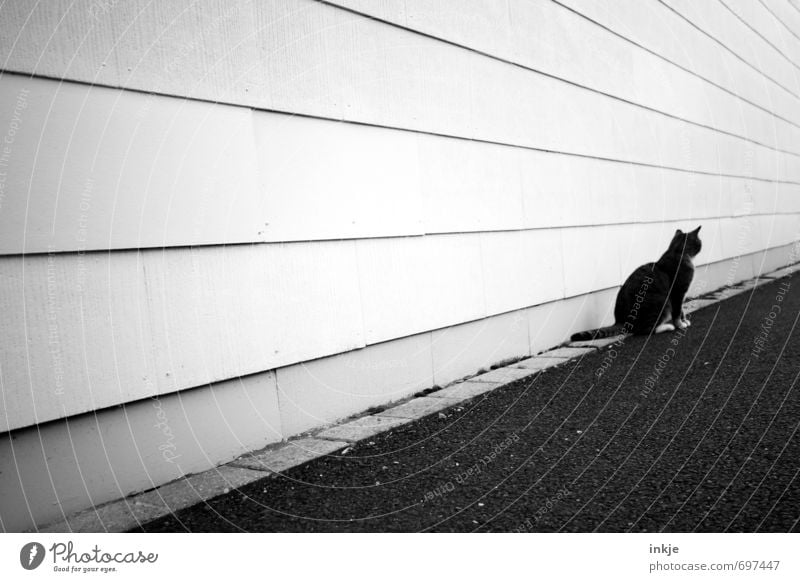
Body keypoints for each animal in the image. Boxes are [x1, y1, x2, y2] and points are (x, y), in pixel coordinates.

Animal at [572, 225, 704, 342]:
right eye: (699, 242)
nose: (702, 245)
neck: (677, 252)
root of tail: (620, 320)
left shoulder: (680, 295)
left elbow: (682, 310)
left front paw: (684, 321)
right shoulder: (678, 292)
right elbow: (677, 312)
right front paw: (680, 324)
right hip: (662, 303)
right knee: (645, 330)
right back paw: (667, 327)